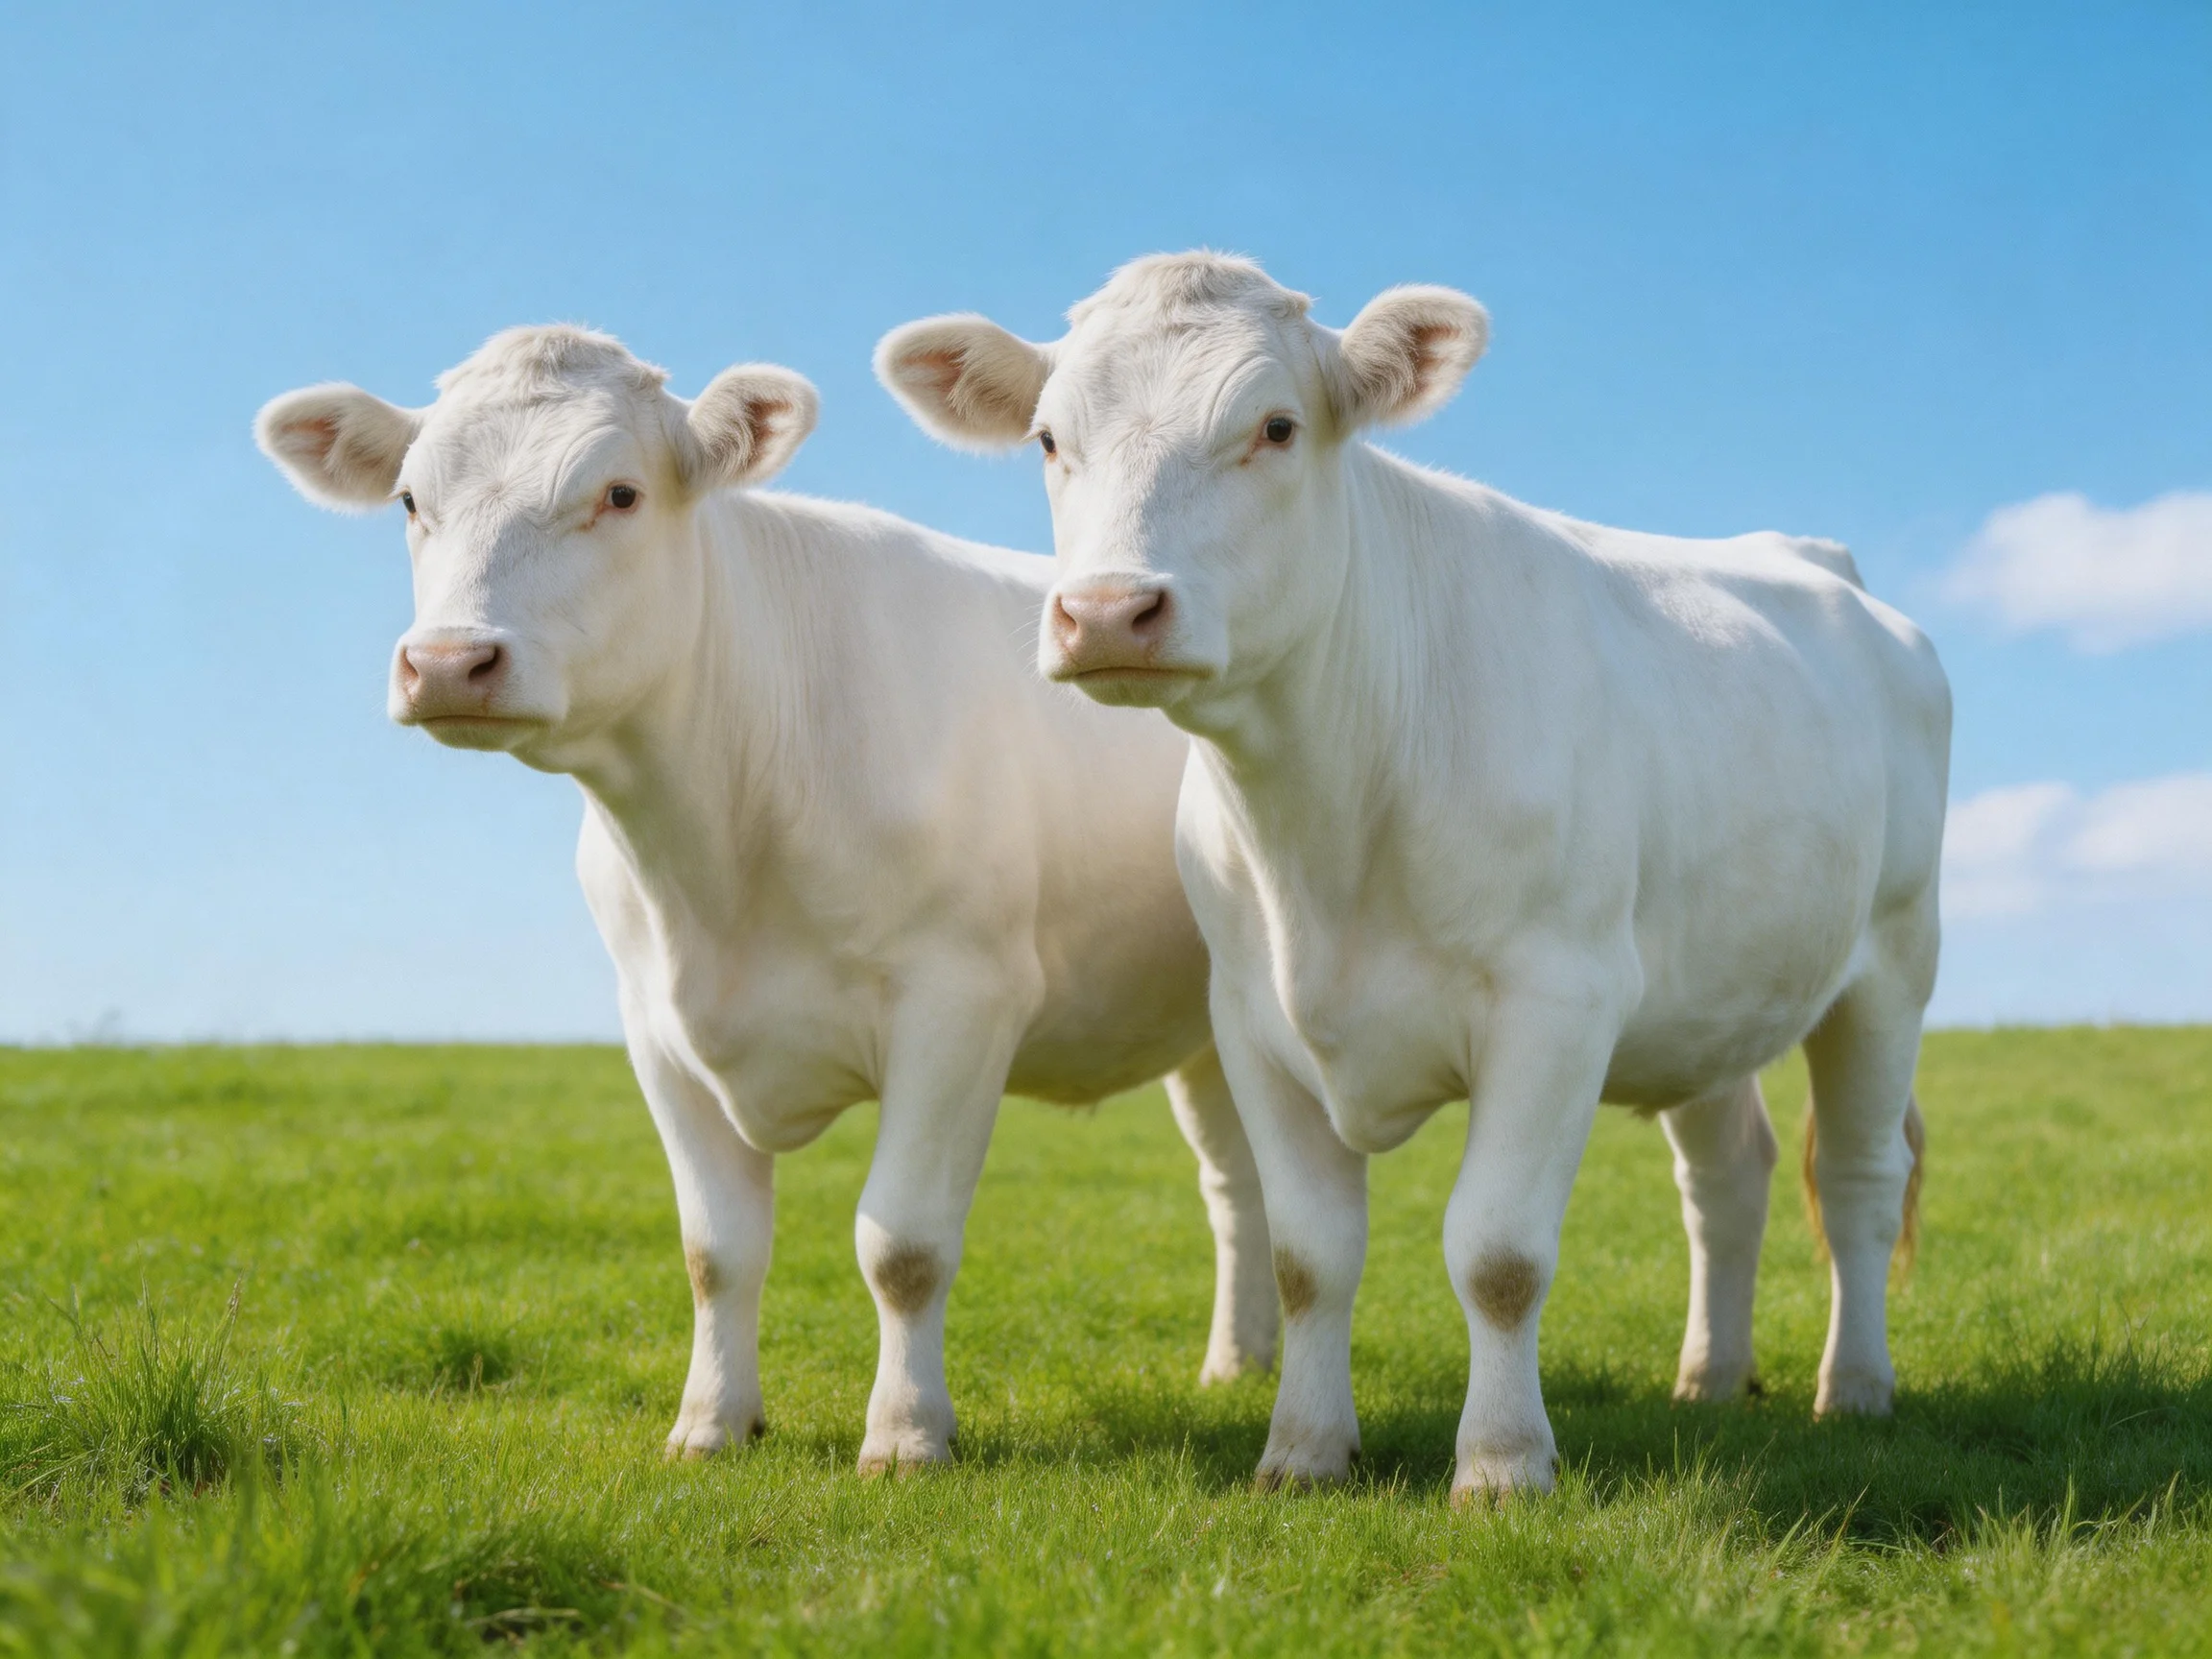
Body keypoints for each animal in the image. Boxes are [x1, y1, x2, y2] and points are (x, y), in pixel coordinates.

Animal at [255, 324, 1278, 1473]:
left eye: (618, 493)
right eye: (410, 499)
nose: (446, 663)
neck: (721, 861)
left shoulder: (962, 1004)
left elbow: (902, 1243)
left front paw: (906, 1435)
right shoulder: (657, 1030)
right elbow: (718, 1250)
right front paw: (710, 1423)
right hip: (1205, 1029)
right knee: (1238, 1185)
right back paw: (1238, 1366)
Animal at [878, 253, 1949, 1500]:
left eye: (1276, 426)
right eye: (1049, 439)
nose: (1105, 611)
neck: (1327, 834)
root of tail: (1812, 556)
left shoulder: (1558, 1002)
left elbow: (1498, 1254)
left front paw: (1501, 1463)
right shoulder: (1252, 1023)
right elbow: (1308, 1256)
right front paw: (1301, 1449)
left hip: (1891, 964)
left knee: (1864, 1179)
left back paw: (1856, 1388)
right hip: (1708, 997)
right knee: (1730, 1176)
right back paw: (1711, 1378)